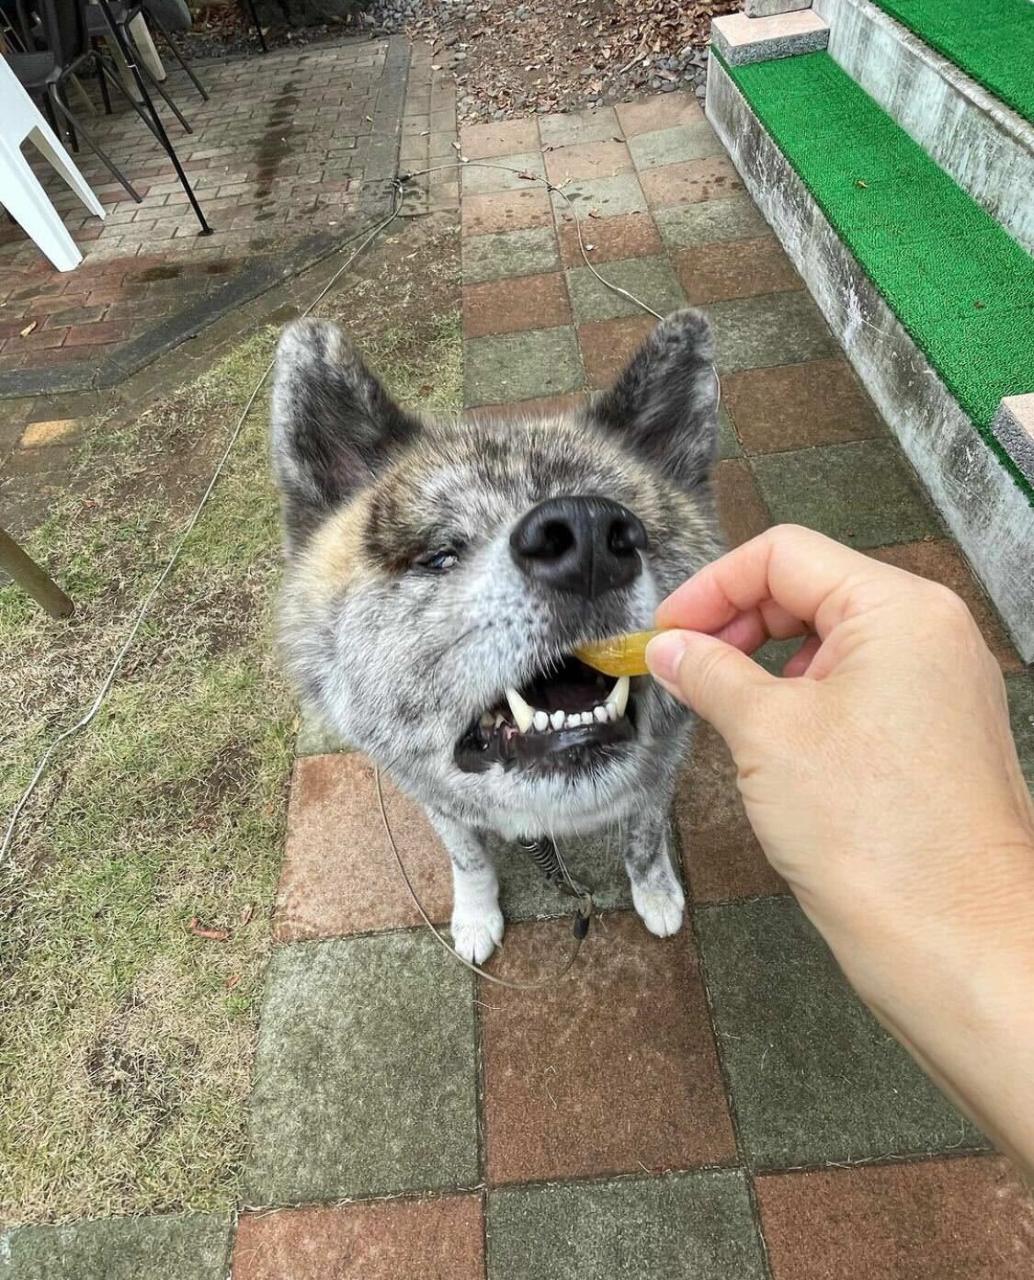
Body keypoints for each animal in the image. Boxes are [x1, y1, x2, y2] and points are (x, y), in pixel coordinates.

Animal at [270, 310, 724, 963]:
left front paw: (656, 890)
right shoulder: (437, 799)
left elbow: (643, 838)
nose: (588, 536)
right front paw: (477, 915)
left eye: (633, 530)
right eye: (440, 556)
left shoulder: (659, 776)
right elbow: (469, 859)